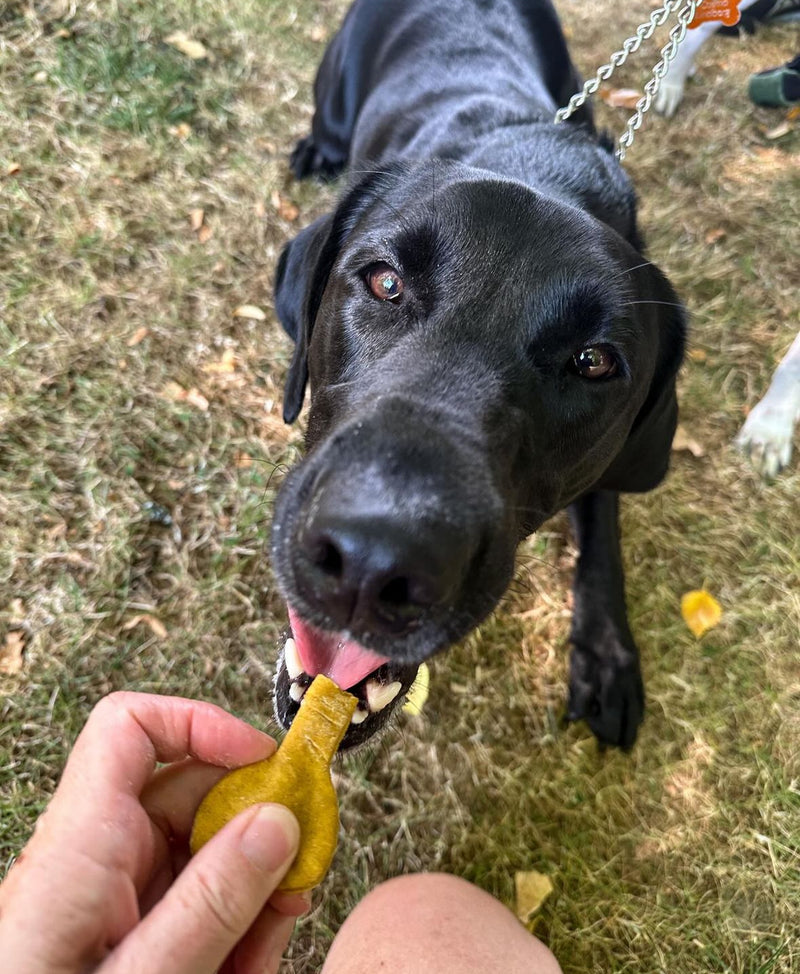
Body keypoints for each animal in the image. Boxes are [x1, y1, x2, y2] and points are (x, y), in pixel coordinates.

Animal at [272, 0, 684, 756]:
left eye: (594, 361)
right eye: (384, 282)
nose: (373, 564)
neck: (543, 167)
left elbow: (603, 542)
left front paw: (607, 657)